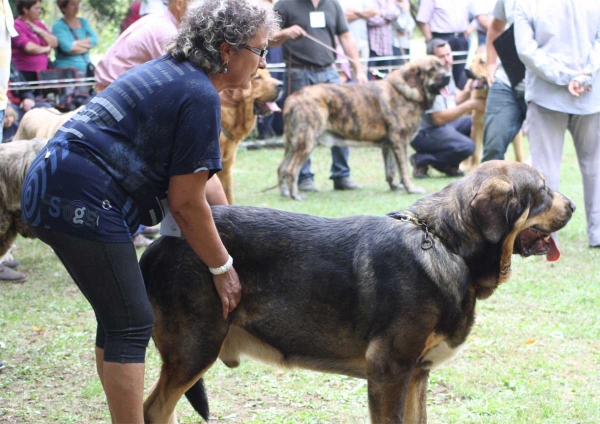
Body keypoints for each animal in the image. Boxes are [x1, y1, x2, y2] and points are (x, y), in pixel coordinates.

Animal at [138, 161, 576, 422]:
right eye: (541, 191)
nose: (572, 206)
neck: (444, 242)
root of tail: (160, 243)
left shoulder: (416, 374)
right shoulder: (389, 371)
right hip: (194, 350)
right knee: (153, 408)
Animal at [276, 56, 450, 200]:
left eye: (442, 65)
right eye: (431, 69)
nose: (448, 76)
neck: (407, 90)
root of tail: (292, 98)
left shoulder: (389, 145)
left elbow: (390, 170)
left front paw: (394, 186)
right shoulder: (400, 141)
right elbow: (403, 170)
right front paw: (411, 188)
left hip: (292, 144)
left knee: (281, 168)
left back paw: (284, 192)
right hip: (307, 142)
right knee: (291, 170)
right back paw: (295, 195)